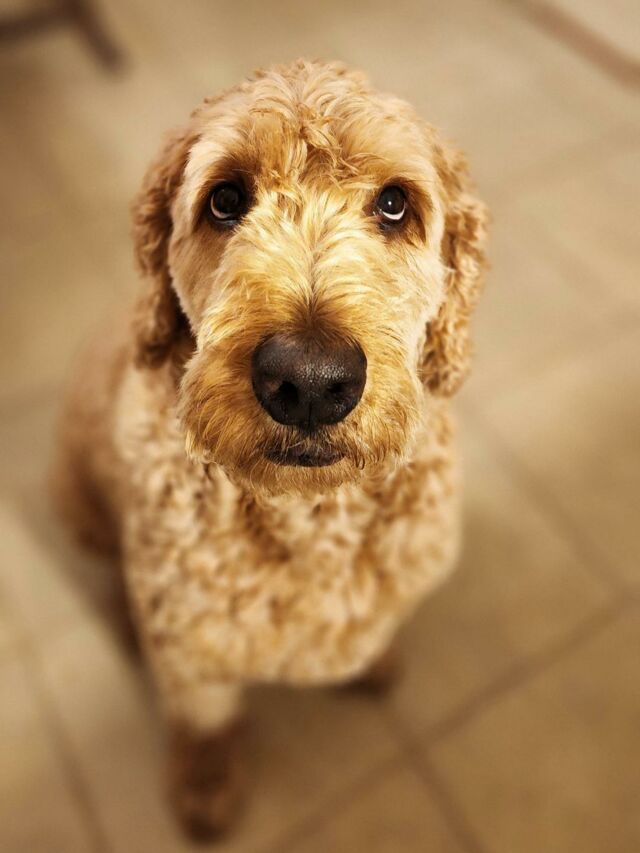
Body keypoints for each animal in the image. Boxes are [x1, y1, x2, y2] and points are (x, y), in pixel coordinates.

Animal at [54, 59, 488, 839]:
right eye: (225, 199)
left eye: (394, 204)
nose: (309, 381)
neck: (307, 521)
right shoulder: (193, 655)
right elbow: (205, 724)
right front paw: (206, 786)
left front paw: (375, 660)